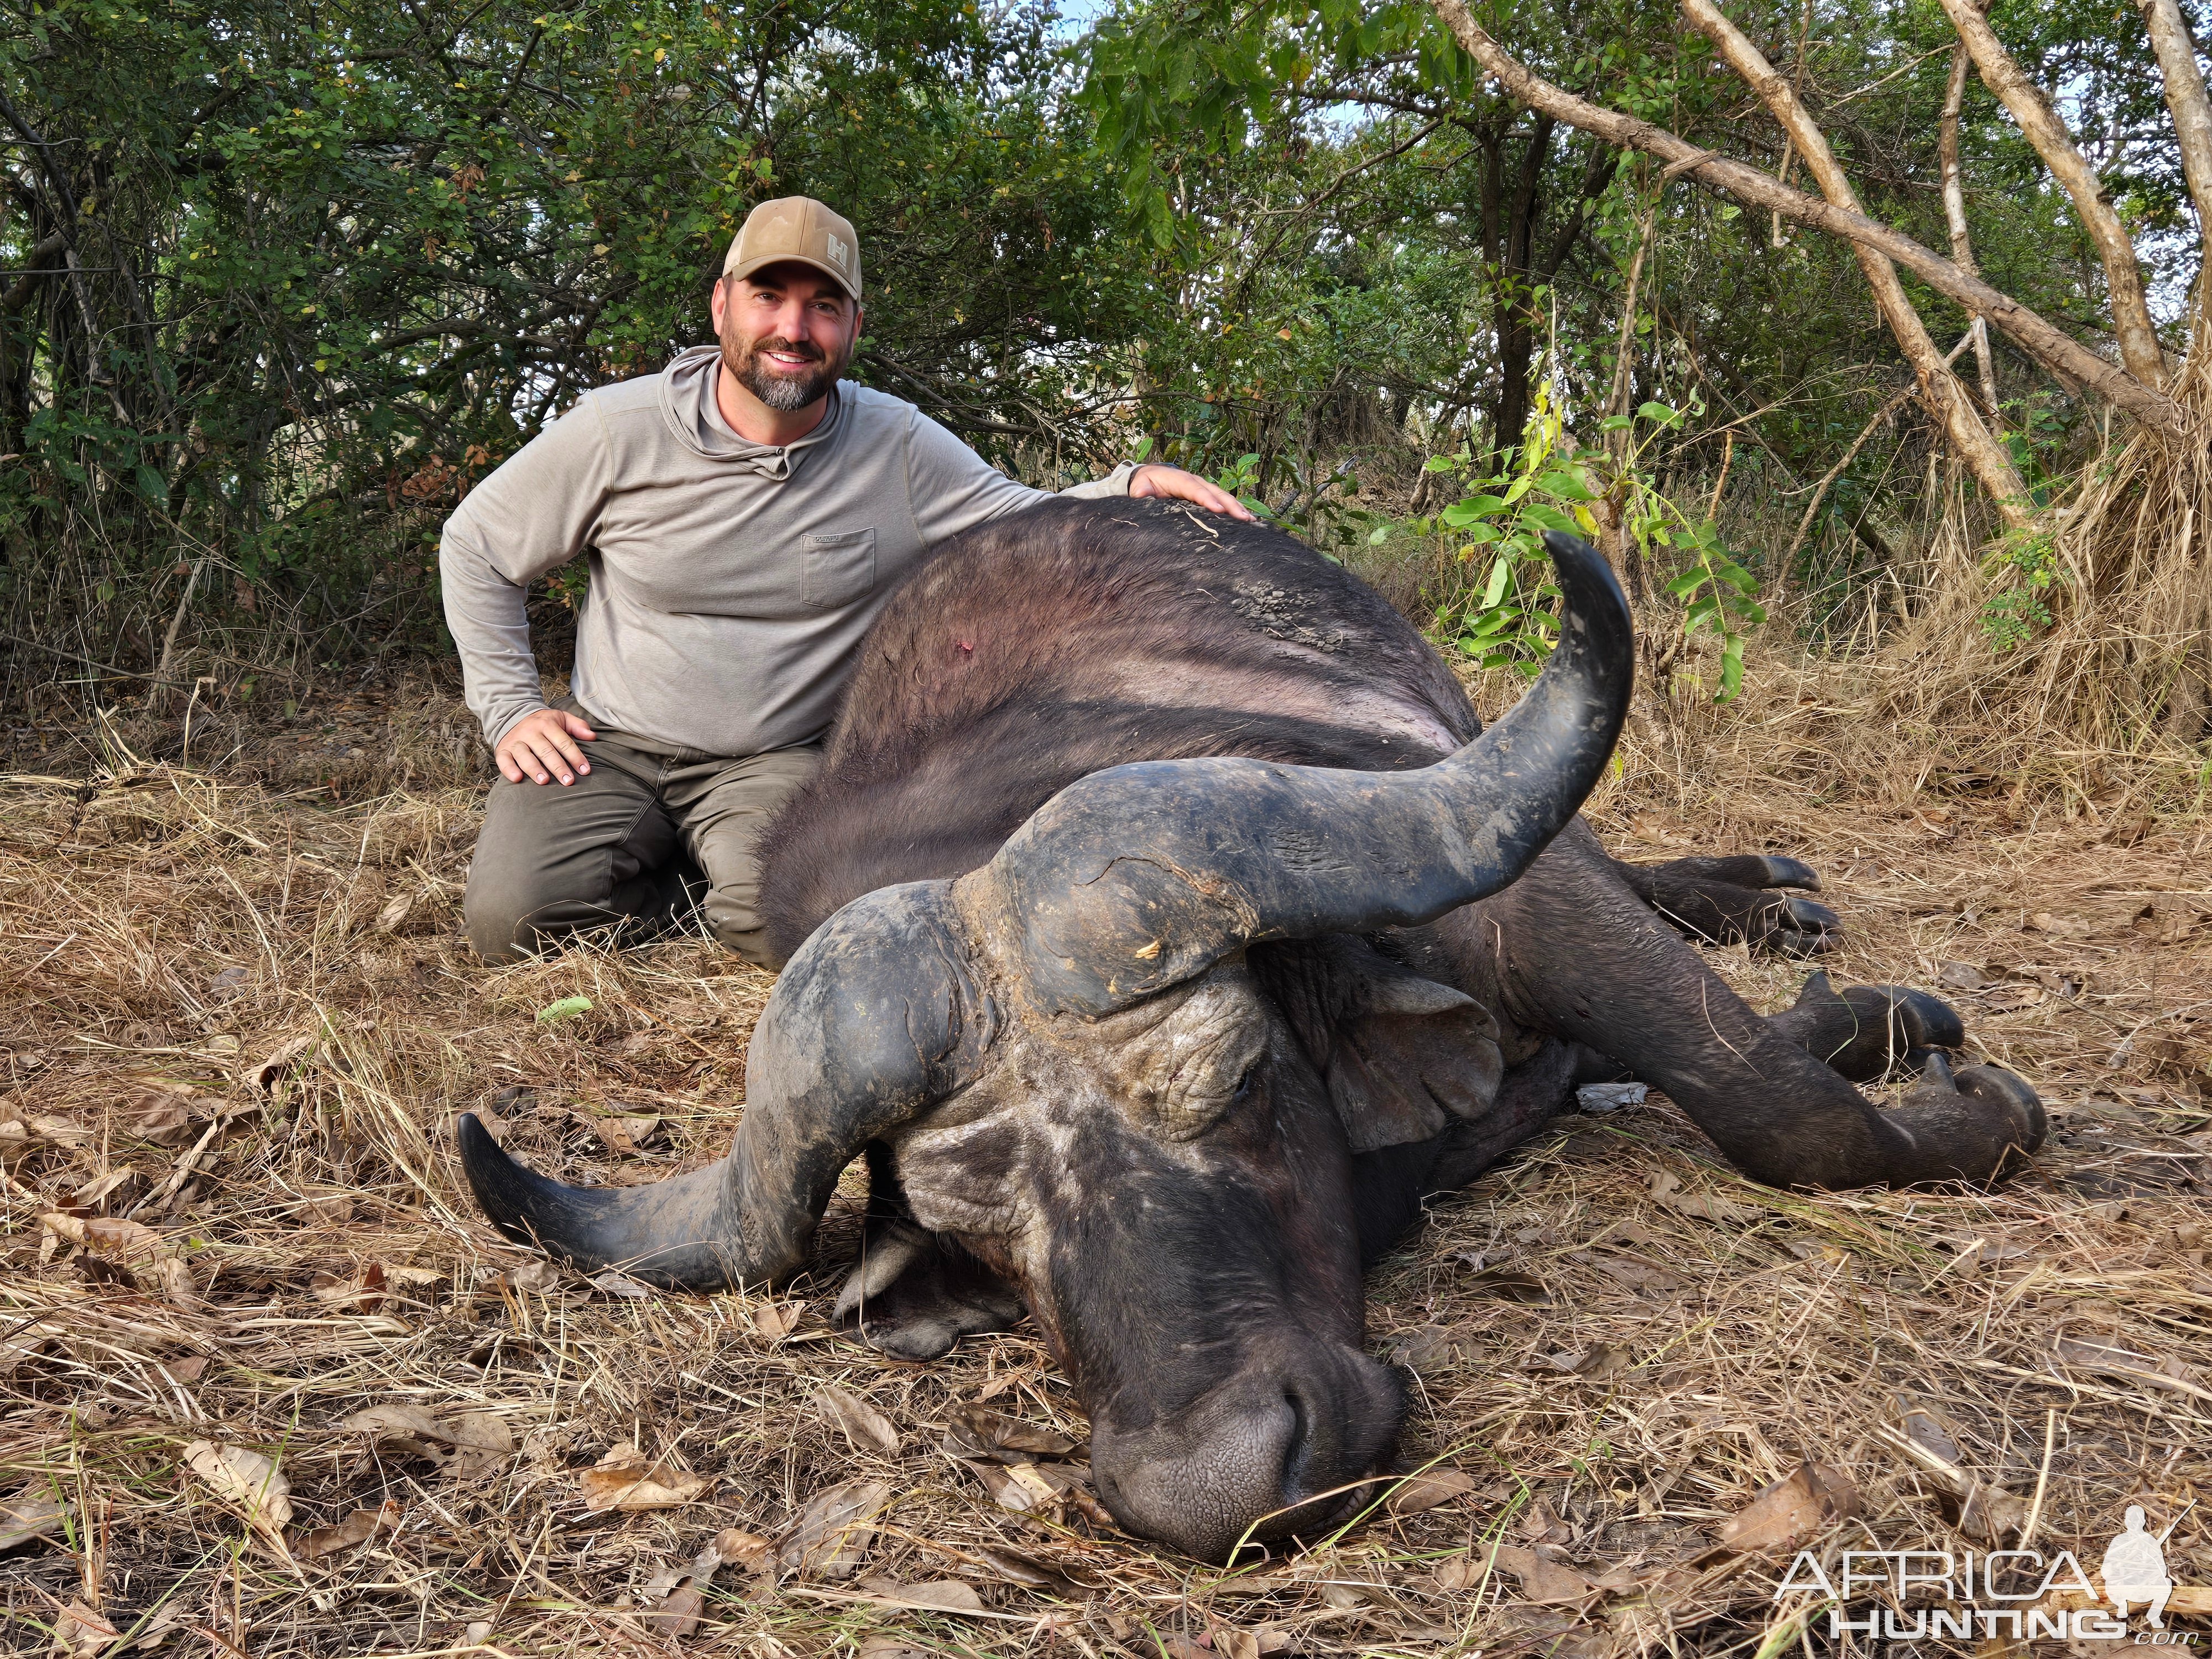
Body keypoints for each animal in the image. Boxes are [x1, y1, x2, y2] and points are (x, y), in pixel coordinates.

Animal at [458, 500, 2044, 1566]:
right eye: (980, 1234)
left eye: (1235, 1078)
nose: (1216, 1481)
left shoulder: (1515, 894)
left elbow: (1769, 1102)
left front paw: (1951, 1090)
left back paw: (1779, 910)